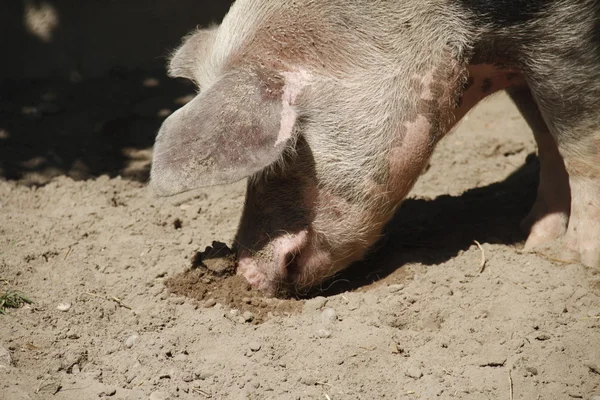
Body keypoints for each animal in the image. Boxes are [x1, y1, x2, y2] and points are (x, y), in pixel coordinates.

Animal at [152, 0, 600, 296]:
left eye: (290, 150)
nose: (246, 273)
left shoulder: (562, 28)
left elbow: (577, 142)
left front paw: (572, 260)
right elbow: (543, 135)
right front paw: (533, 239)